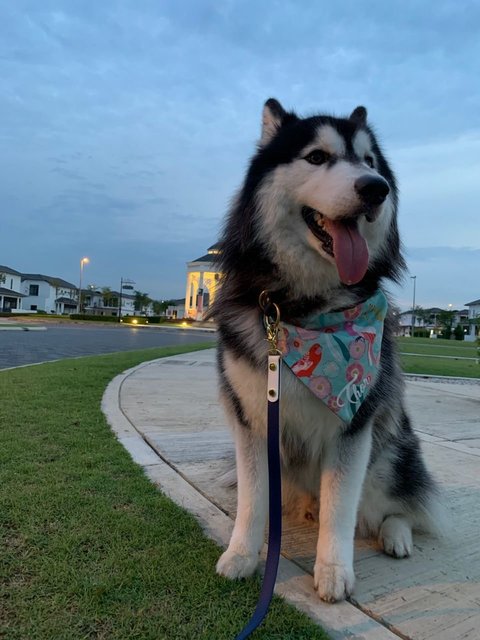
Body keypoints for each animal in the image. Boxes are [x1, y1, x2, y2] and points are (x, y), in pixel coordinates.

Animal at [212, 99, 444, 600]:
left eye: (371, 162)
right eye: (317, 157)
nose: (375, 189)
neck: (303, 311)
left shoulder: (354, 425)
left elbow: (342, 504)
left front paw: (334, 570)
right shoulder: (252, 420)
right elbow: (253, 499)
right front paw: (242, 554)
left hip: (389, 452)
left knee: (396, 507)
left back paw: (396, 535)